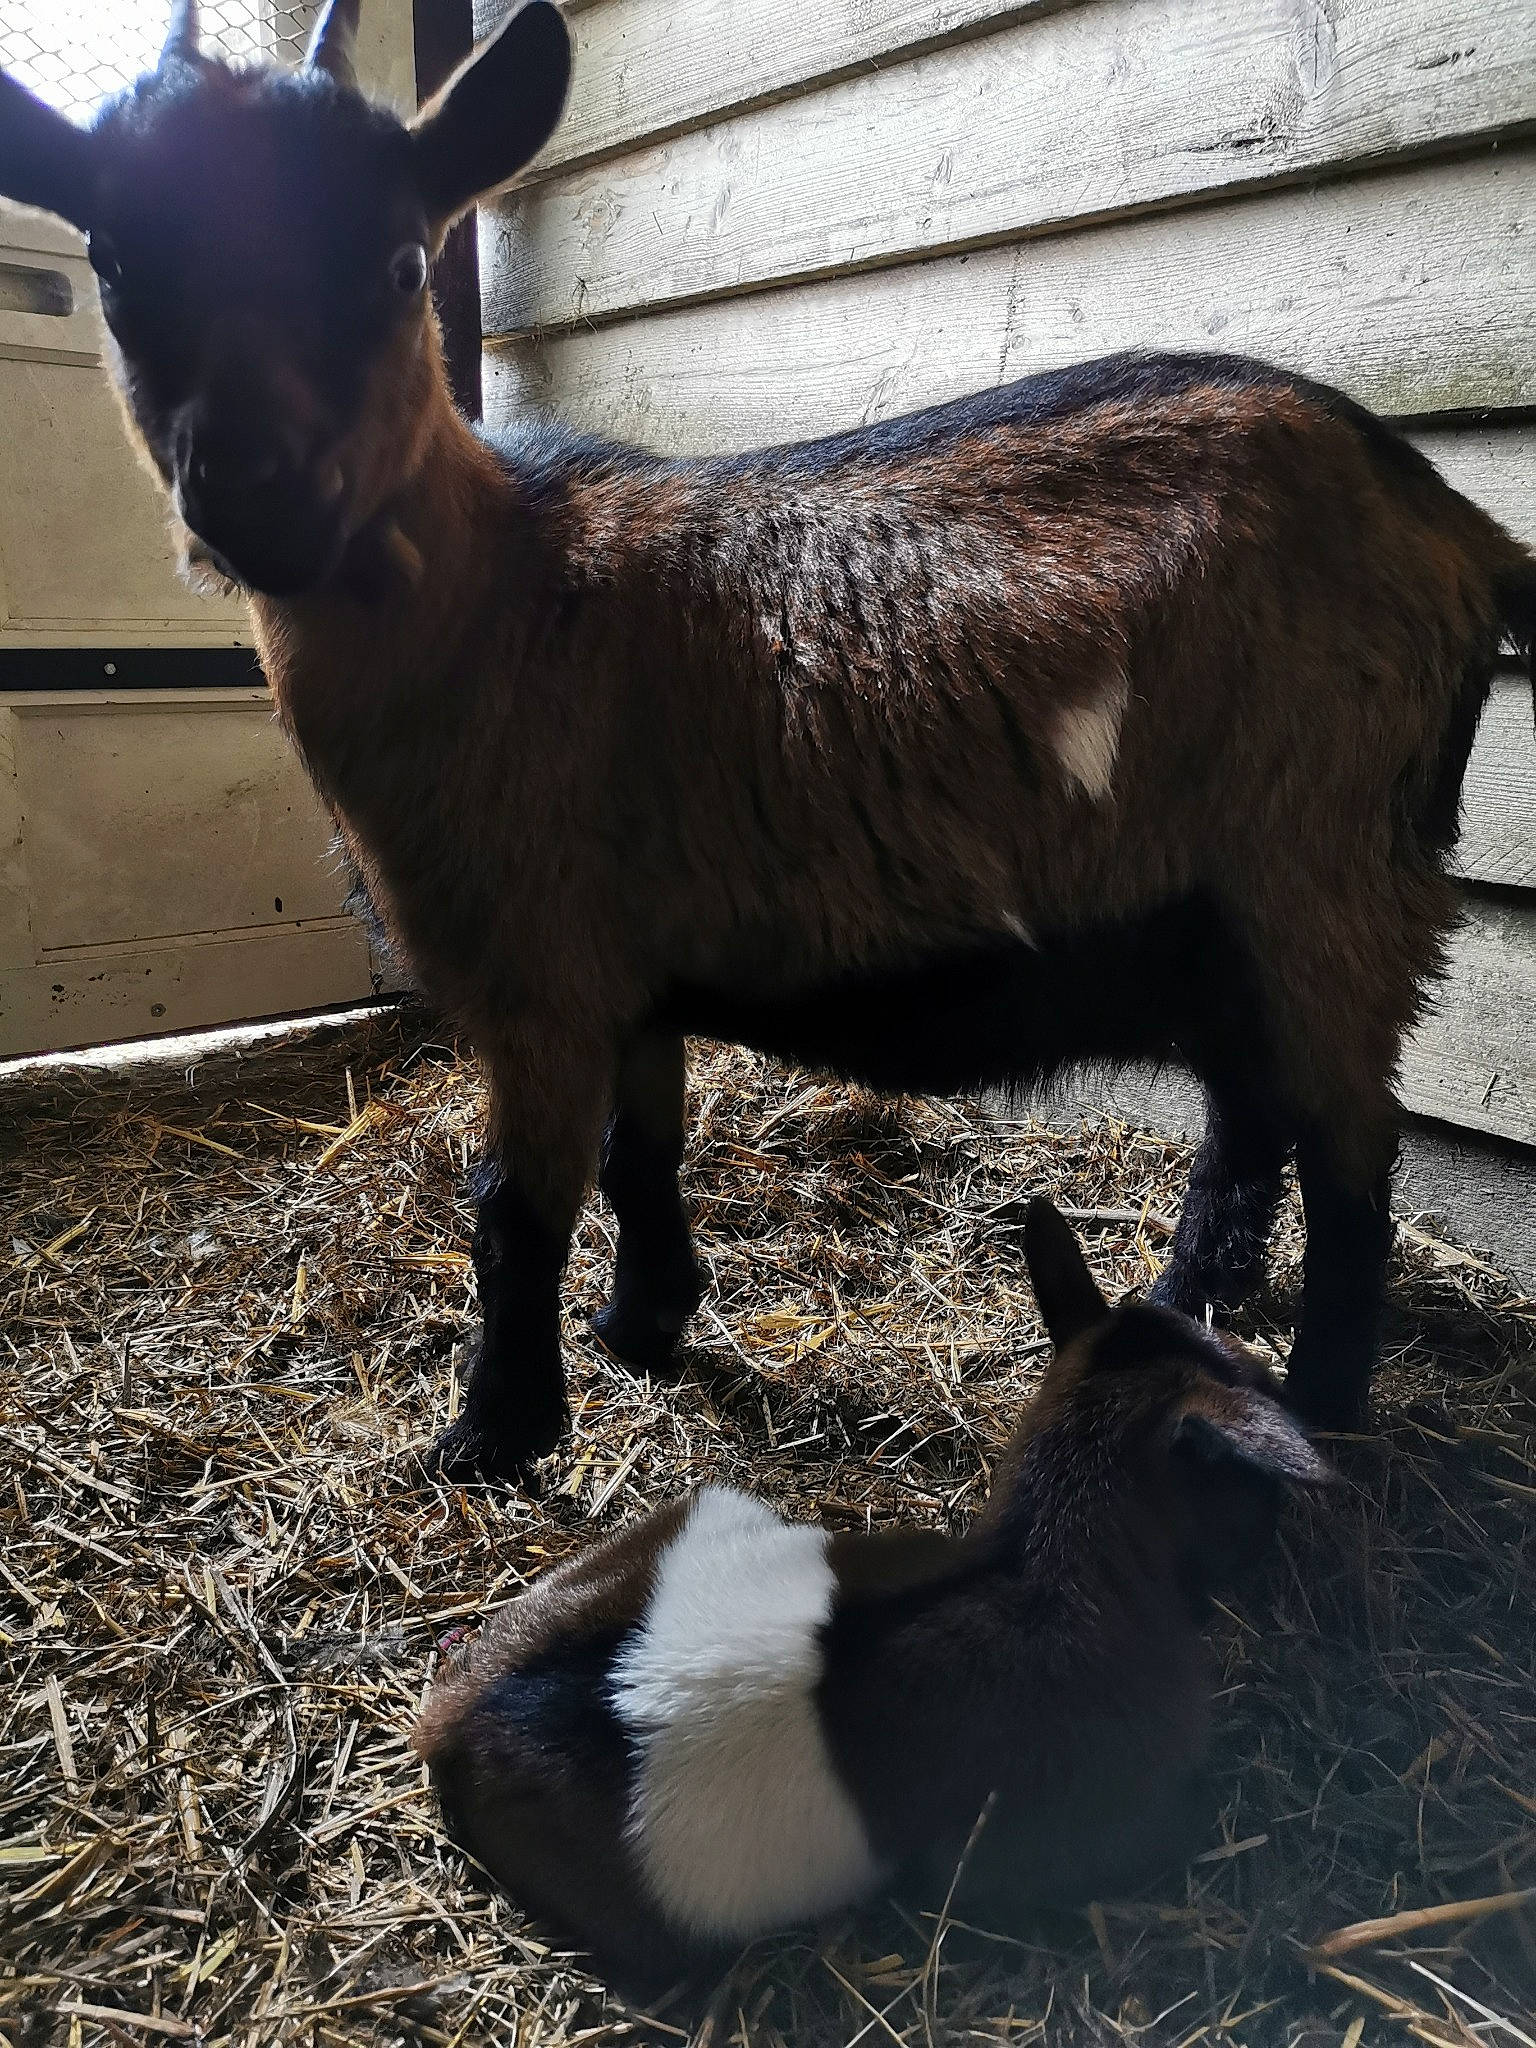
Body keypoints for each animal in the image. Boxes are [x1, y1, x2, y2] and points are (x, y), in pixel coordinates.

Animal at [1, 0, 1531, 1476]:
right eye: (119, 263)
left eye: (394, 261)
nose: (255, 487)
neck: (504, 589)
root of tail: (1462, 535)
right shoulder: (633, 965)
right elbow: (642, 1155)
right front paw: (641, 1326)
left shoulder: (541, 966)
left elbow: (514, 1210)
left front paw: (494, 1435)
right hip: (1230, 906)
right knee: (1250, 1113)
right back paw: (1185, 1302)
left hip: (1330, 875)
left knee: (1354, 1167)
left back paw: (1322, 1406)